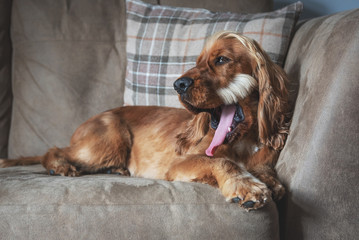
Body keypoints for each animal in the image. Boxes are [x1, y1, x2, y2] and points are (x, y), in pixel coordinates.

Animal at [0, 31, 292, 210]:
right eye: (197, 62)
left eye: (222, 60)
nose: (178, 85)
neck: (242, 142)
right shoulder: (180, 164)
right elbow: (222, 162)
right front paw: (246, 186)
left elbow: (268, 175)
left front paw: (268, 182)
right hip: (109, 140)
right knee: (53, 150)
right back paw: (60, 166)